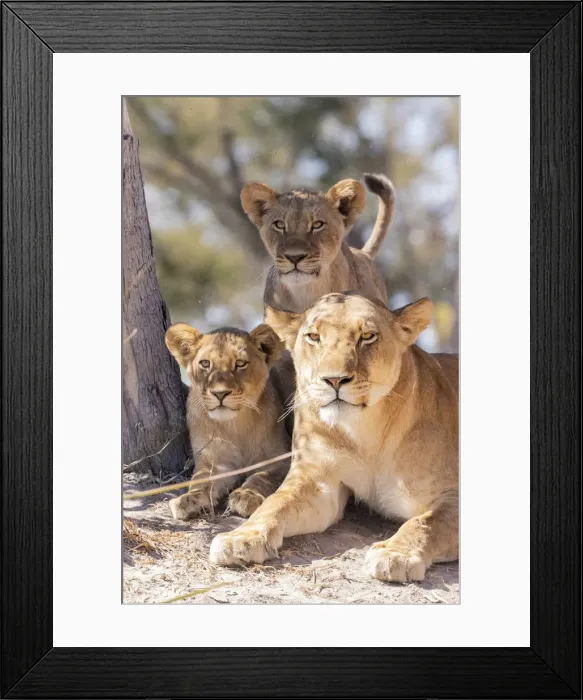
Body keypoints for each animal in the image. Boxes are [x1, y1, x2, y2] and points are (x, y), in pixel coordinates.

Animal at [165, 323, 291, 520]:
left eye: (240, 363)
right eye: (205, 363)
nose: (220, 393)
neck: (234, 425)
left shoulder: (281, 458)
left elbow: (262, 477)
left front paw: (246, 496)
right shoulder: (215, 462)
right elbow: (200, 479)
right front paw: (189, 499)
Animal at [210, 293, 458, 583]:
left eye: (367, 336)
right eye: (314, 337)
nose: (335, 380)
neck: (365, 434)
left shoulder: (450, 495)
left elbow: (424, 523)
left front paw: (395, 554)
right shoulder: (318, 481)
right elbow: (275, 503)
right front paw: (241, 537)